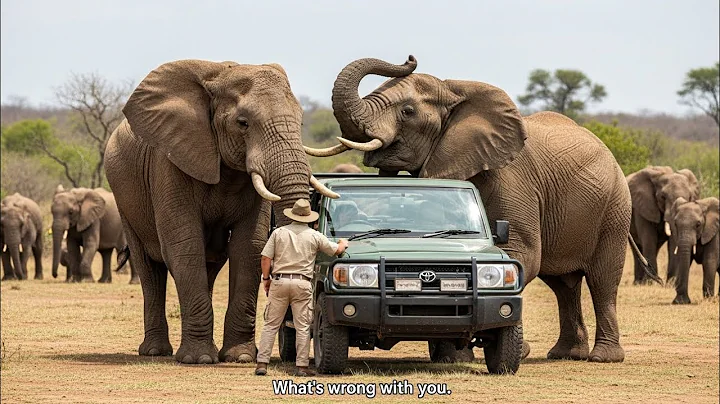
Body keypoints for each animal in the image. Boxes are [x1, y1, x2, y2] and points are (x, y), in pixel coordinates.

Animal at [104, 59, 338, 365]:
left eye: (300, 121)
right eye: (243, 123)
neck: (219, 74)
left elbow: (249, 247)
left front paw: (240, 357)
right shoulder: (170, 161)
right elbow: (184, 245)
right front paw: (199, 359)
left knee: (209, 266)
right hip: (124, 199)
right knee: (149, 268)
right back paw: (156, 351)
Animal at [307, 55, 644, 363]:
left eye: (408, 111)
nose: (410, 58)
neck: (454, 90)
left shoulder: (512, 179)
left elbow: (523, 255)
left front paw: (510, 351)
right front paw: (455, 356)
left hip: (615, 206)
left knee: (602, 278)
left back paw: (603, 357)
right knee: (564, 285)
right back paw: (565, 354)